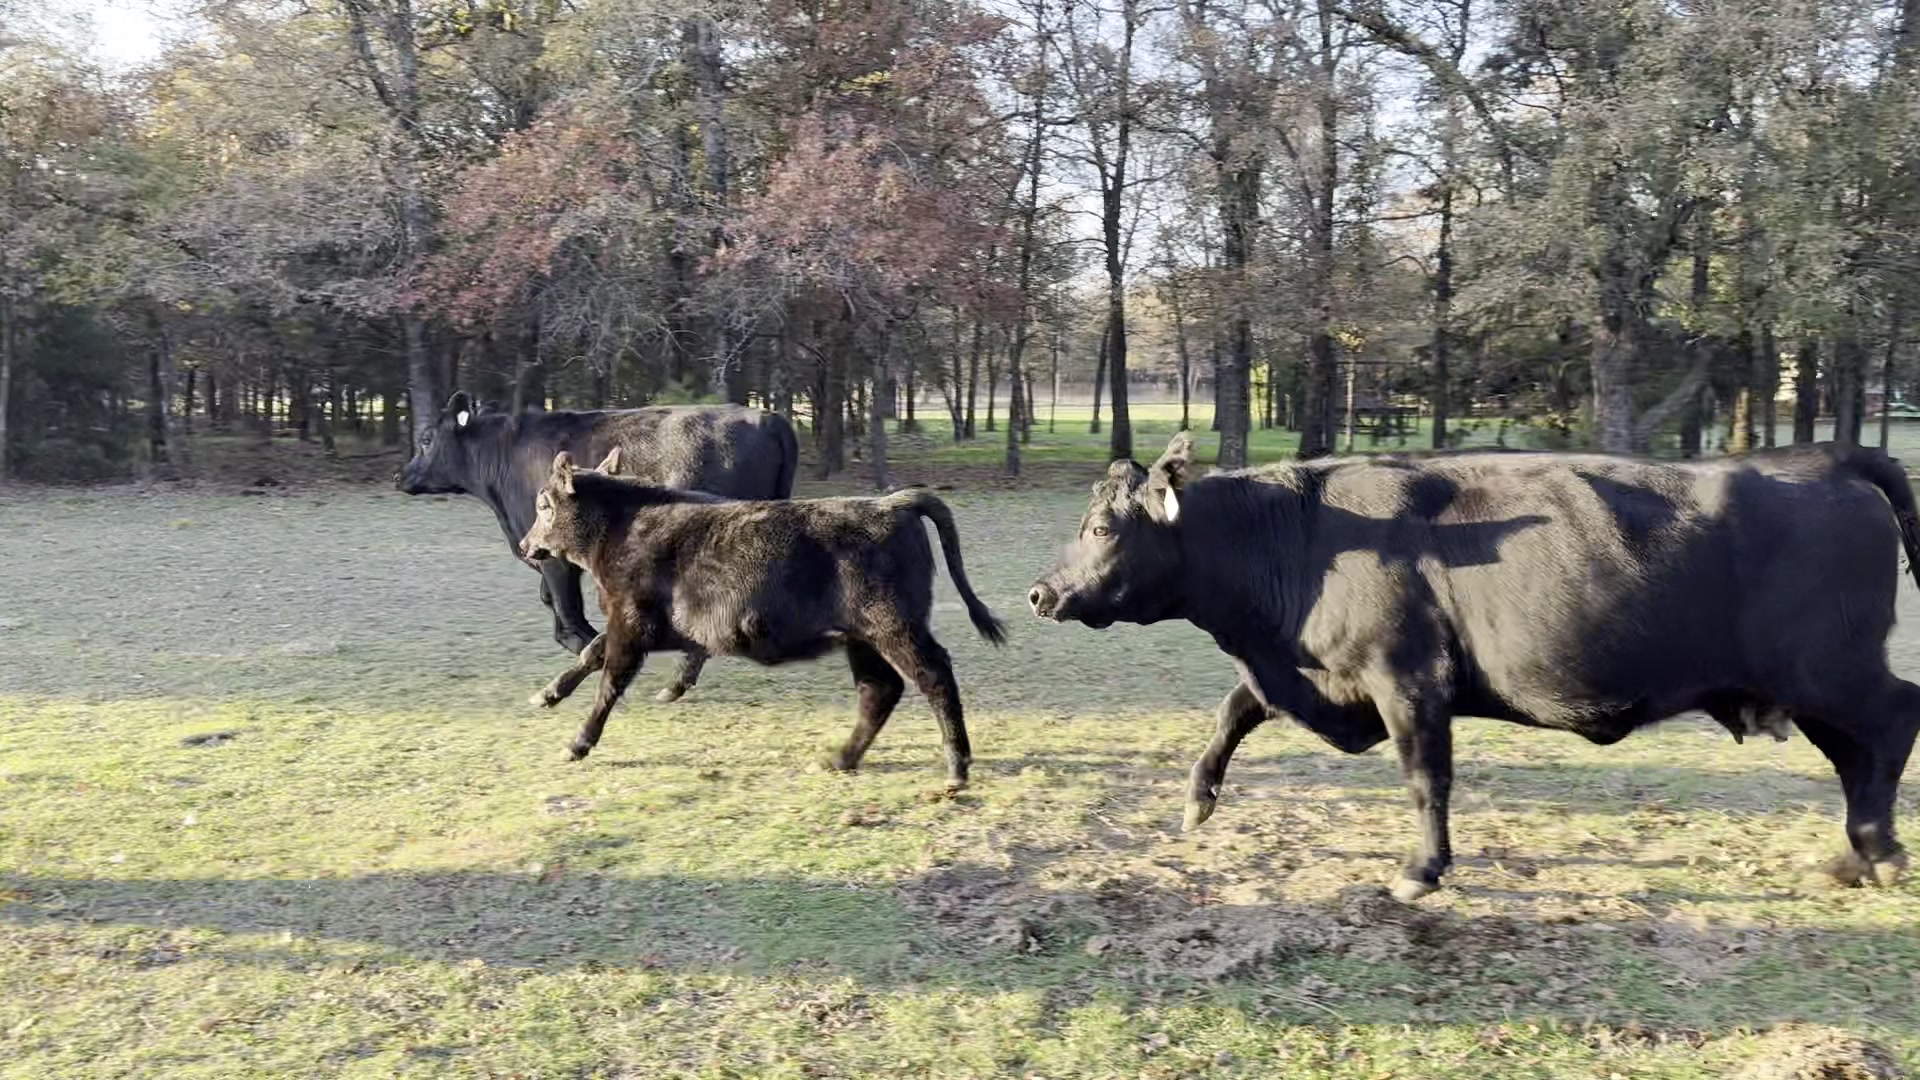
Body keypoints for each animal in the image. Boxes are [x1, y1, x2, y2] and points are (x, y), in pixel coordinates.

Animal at [396, 391, 799, 704]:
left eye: (427, 438)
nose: (400, 475)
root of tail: (767, 417)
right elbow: (555, 608)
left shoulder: (556, 560)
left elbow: (569, 616)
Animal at [516, 450, 1008, 787]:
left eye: (544, 505)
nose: (524, 544)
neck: (623, 526)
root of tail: (892, 504)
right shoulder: (634, 627)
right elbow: (591, 654)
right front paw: (547, 695)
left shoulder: (632, 626)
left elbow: (609, 683)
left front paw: (577, 743)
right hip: (862, 639)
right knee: (880, 690)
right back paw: (840, 758)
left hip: (895, 628)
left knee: (933, 677)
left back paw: (956, 767)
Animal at [1028, 433, 1920, 902]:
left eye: (1103, 528)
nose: (1041, 592)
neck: (1307, 537)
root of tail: (1824, 460)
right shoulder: (1314, 675)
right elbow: (1233, 710)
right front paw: (1196, 803)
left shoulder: (1409, 681)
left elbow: (1427, 780)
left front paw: (1422, 871)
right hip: (1811, 688)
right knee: (1859, 754)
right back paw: (1857, 853)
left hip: (1829, 671)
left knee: (1894, 721)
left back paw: (1877, 848)